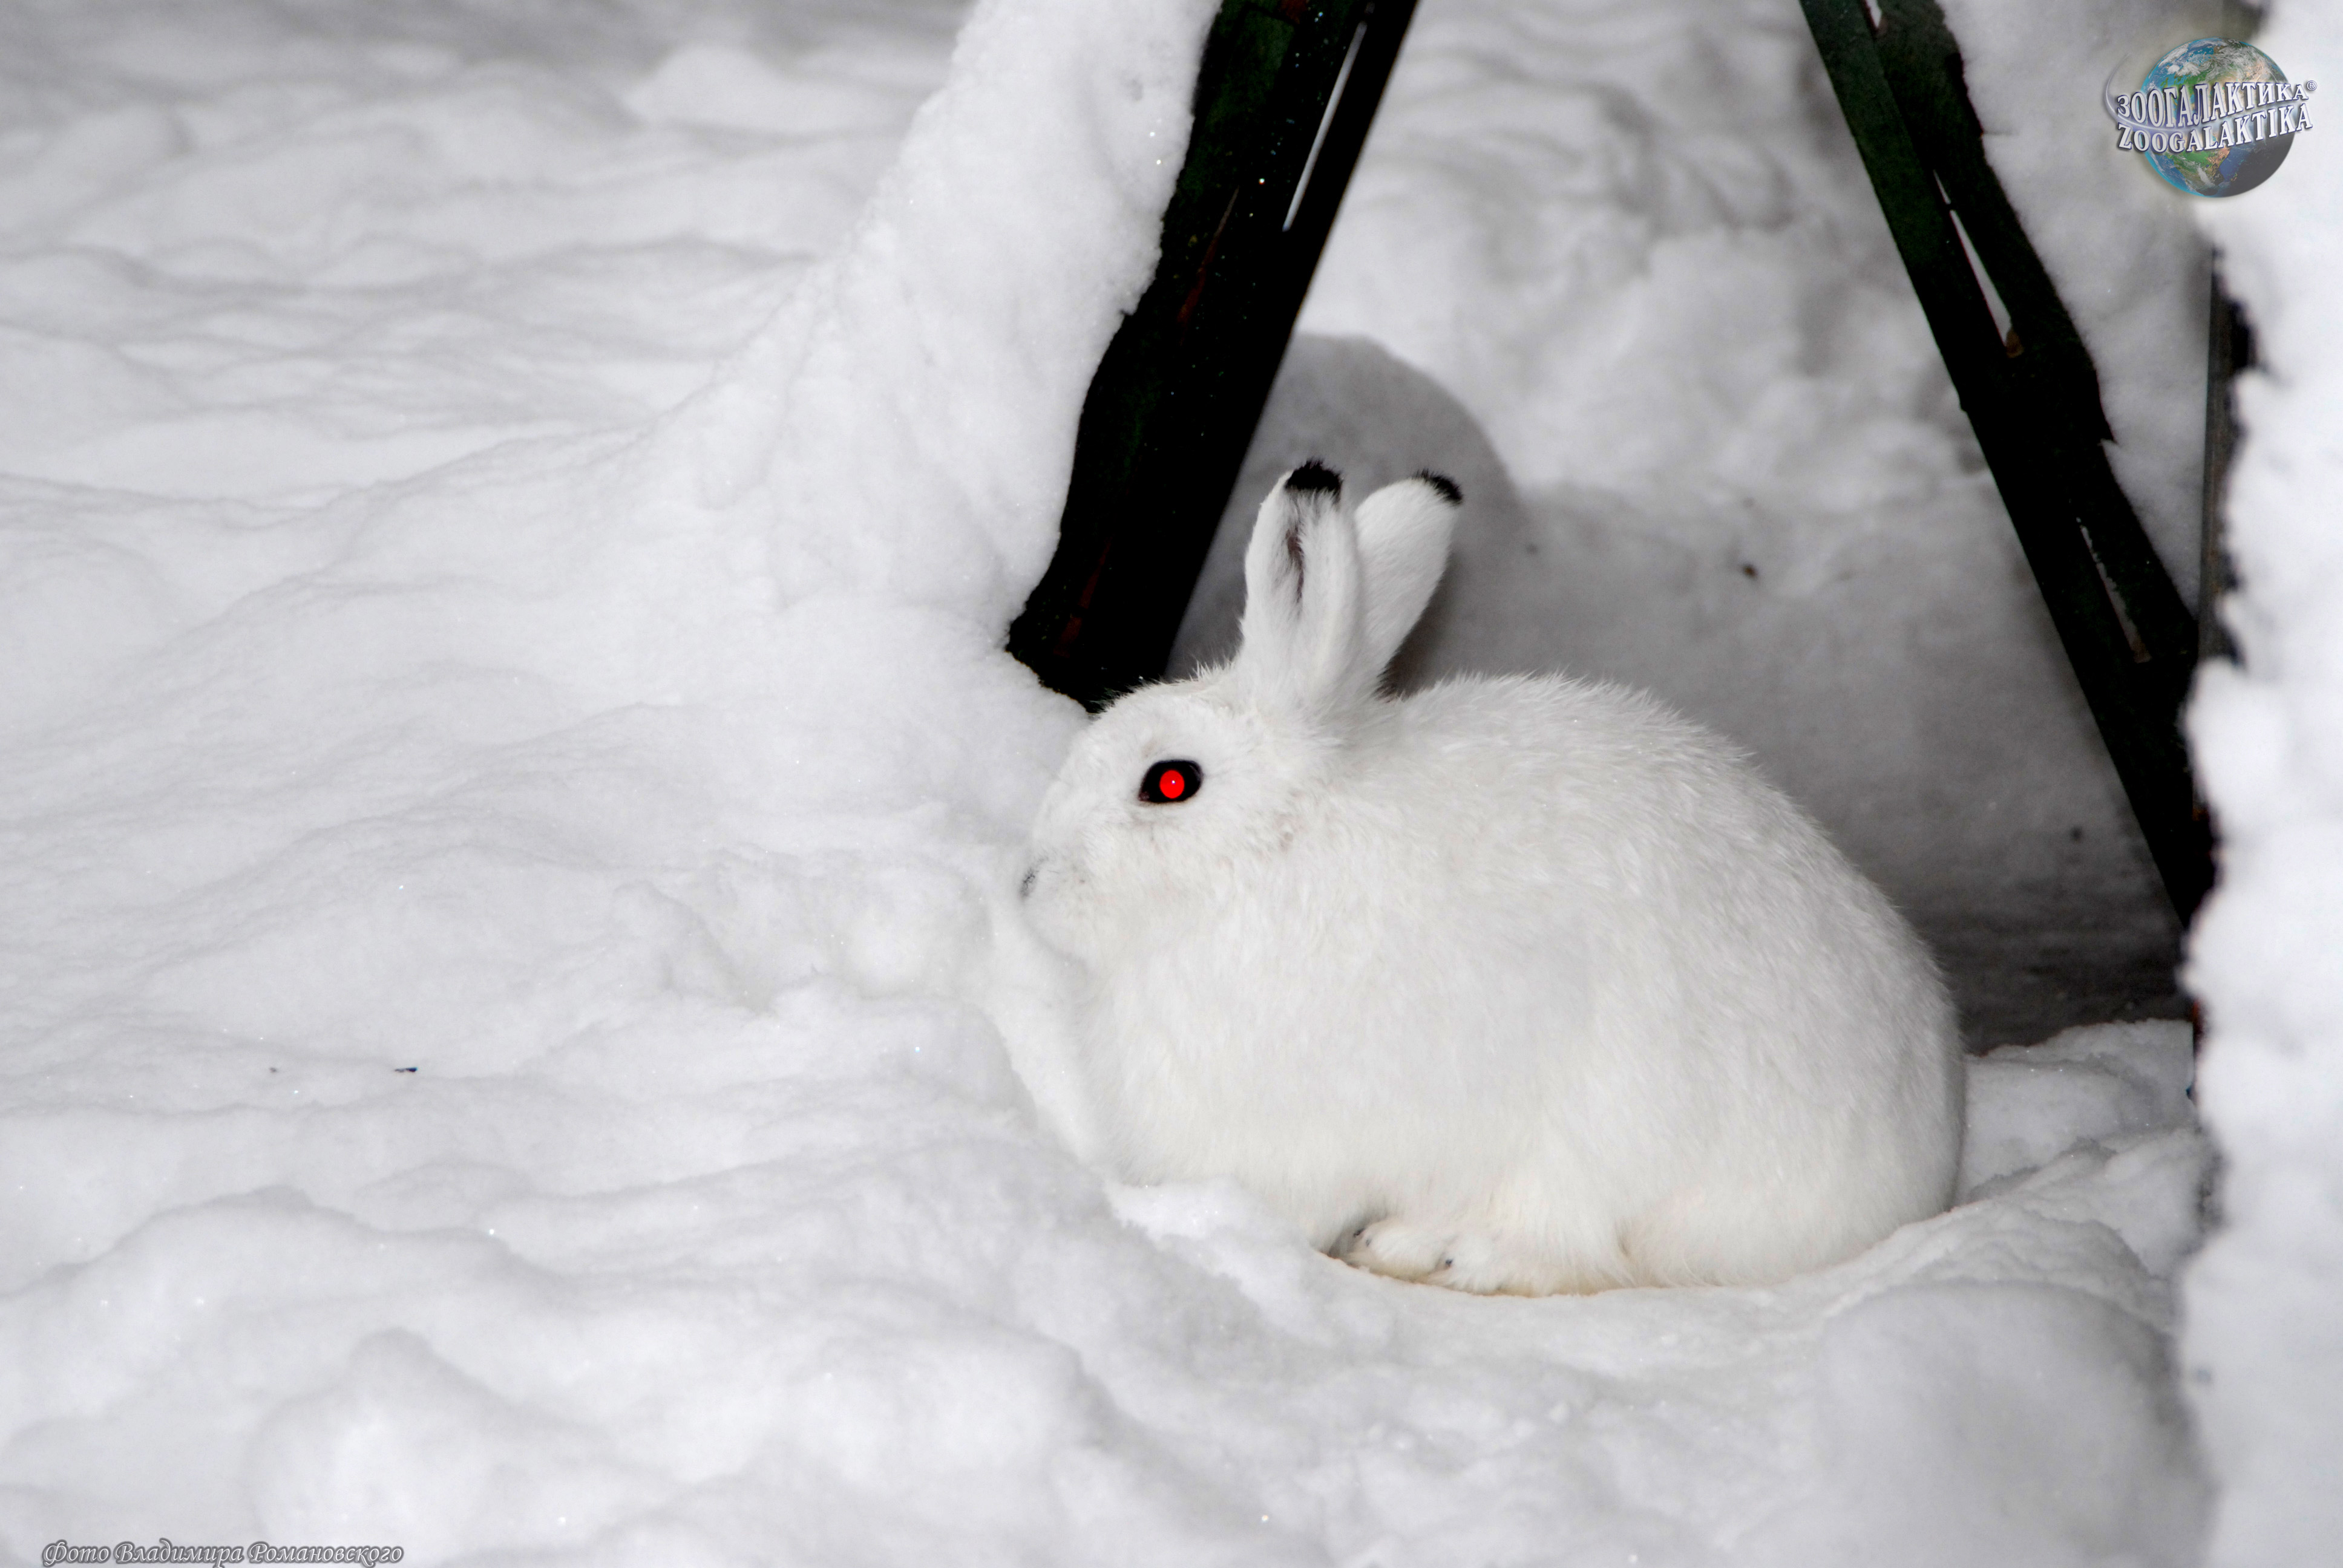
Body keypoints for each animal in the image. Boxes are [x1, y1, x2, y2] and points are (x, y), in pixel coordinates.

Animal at [1019, 462, 1965, 1294]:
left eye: (1171, 783)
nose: (1029, 886)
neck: (1272, 854)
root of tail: (1918, 1177)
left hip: (1607, 1135)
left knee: (1583, 1253)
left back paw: (1436, 1251)